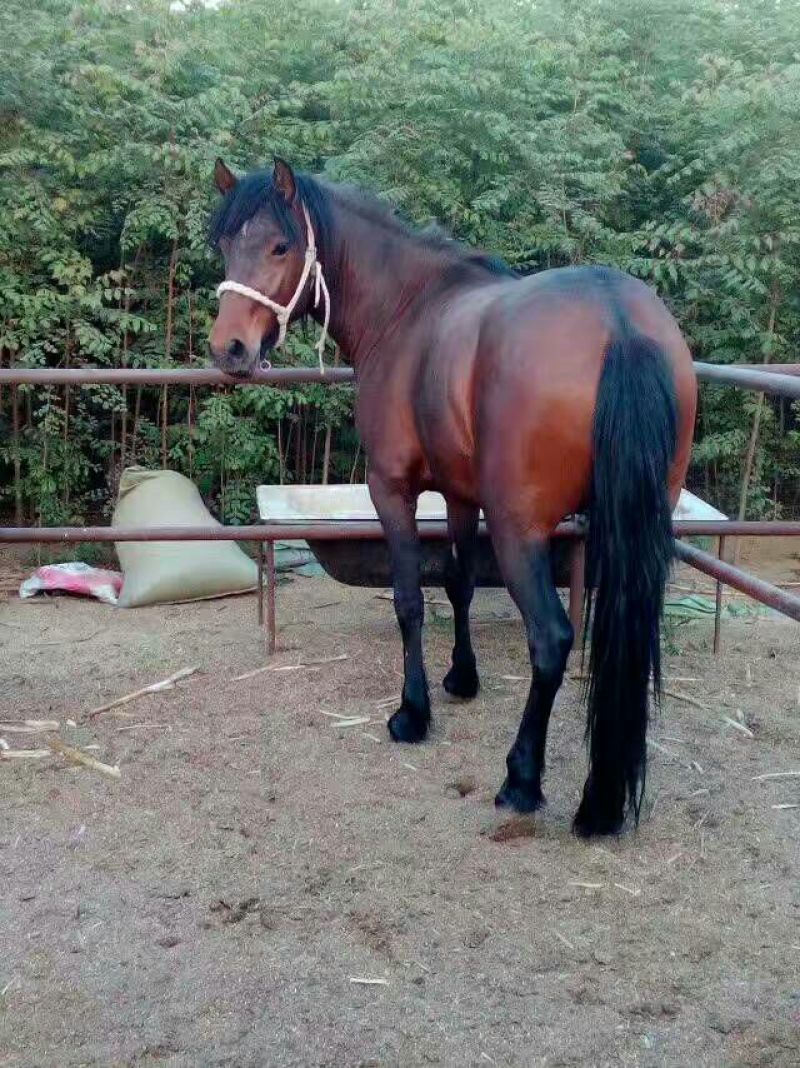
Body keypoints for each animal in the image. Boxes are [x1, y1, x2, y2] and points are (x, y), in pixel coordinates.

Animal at [208, 157, 697, 837]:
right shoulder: (462, 497)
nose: (228, 349)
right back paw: (604, 798)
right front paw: (462, 678)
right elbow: (460, 583)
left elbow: (412, 600)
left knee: (551, 639)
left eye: (281, 246)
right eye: (226, 245)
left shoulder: (393, 490)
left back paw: (522, 780)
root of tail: (617, 319)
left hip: (523, 533)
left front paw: (413, 712)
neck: (408, 309)